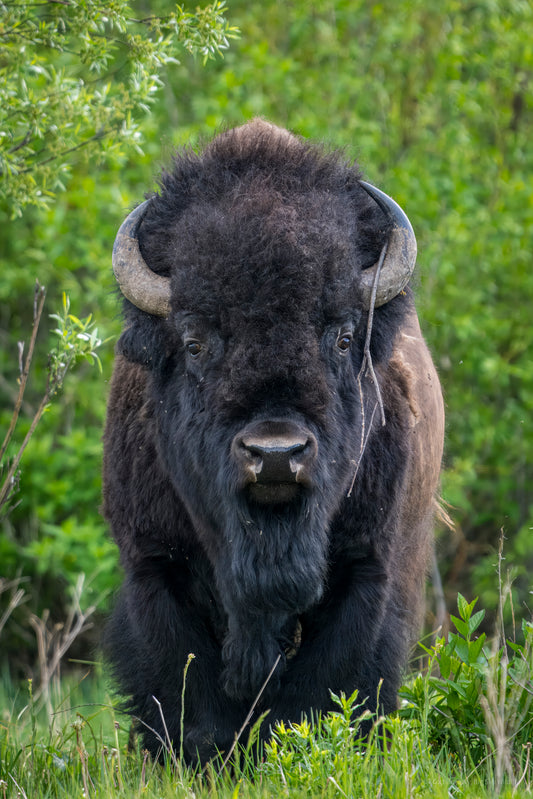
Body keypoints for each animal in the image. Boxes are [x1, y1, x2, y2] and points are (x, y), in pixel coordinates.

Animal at [102, 119, 444, 765]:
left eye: (342, 336)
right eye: (195, 342)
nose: (277, 454)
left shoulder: (367, 573)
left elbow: (321, 694)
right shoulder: (153, 567)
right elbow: (191, 699)